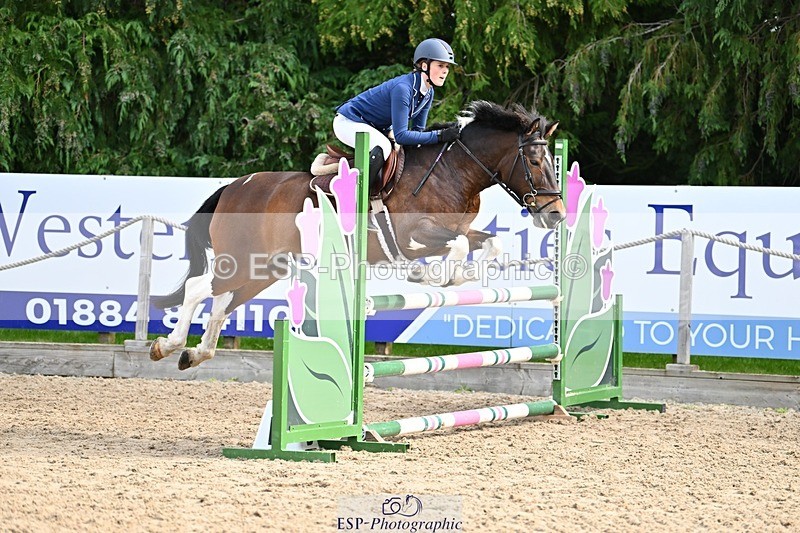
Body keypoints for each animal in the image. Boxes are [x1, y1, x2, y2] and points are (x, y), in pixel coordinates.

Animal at [149, 100, 565, 370]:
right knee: (199, 289)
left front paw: (456, 275)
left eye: (551, 160)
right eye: (533, 161)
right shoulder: (414, 233)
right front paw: (433, 275)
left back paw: (194, 354)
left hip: (262, 269)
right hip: (240, 260)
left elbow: (489, 240)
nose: (557, 215)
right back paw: (167, 345)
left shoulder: (456, 229)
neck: (454, 171)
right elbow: (458, 246)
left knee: (222, 302)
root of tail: (234, 186)